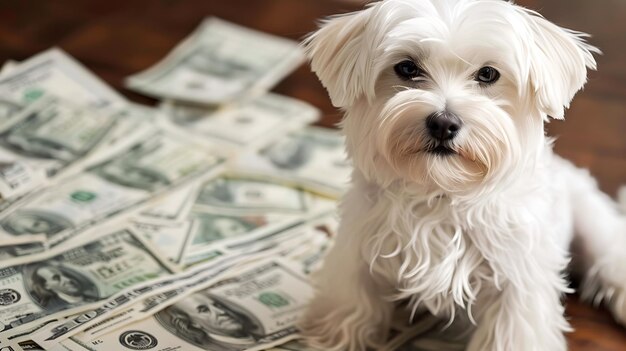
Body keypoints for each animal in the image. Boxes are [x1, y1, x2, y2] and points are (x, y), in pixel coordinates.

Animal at [298, 0, 624, 351]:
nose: (443, 123)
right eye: (407, 68)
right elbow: (351, 303)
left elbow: (511, 333)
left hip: (593, 224)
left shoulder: (518, 280)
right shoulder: (357, 249)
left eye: (488, 74)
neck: (442, 192)